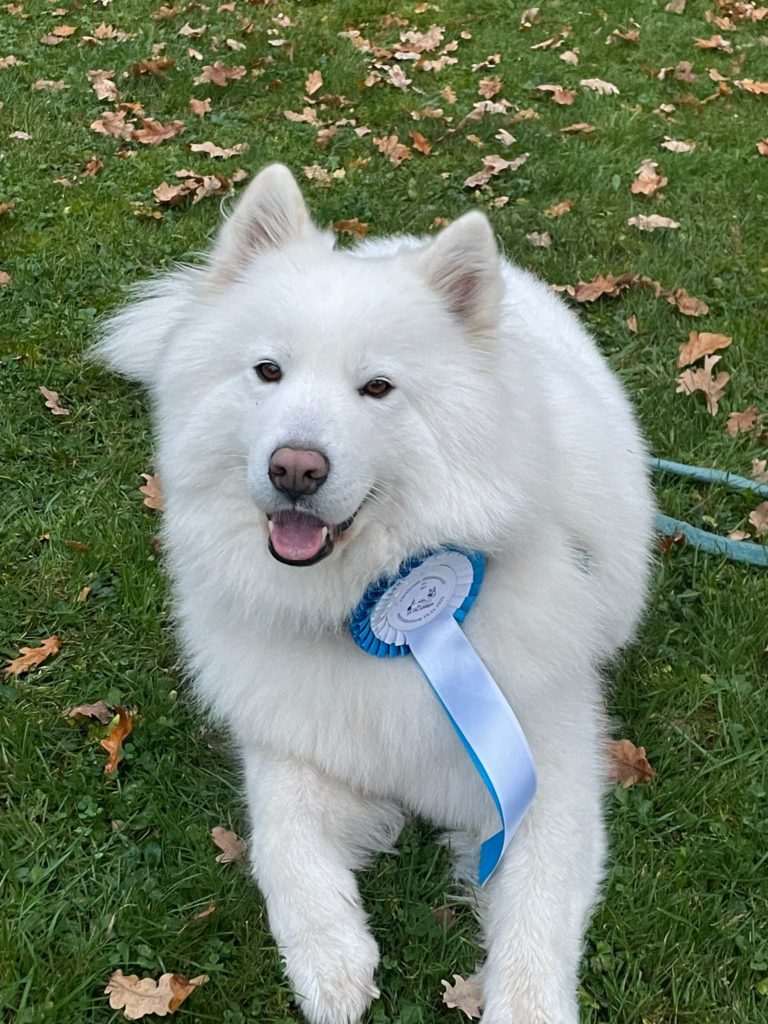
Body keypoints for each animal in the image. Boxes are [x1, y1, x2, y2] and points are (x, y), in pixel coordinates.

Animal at [96, 163, 654, 1024]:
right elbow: (283, 848)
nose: (295, 468)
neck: (367, 604)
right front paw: (330, 961)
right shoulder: (289, 747)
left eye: (378, 388)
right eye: (268, 371)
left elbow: (535, 920)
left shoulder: (547, 771)